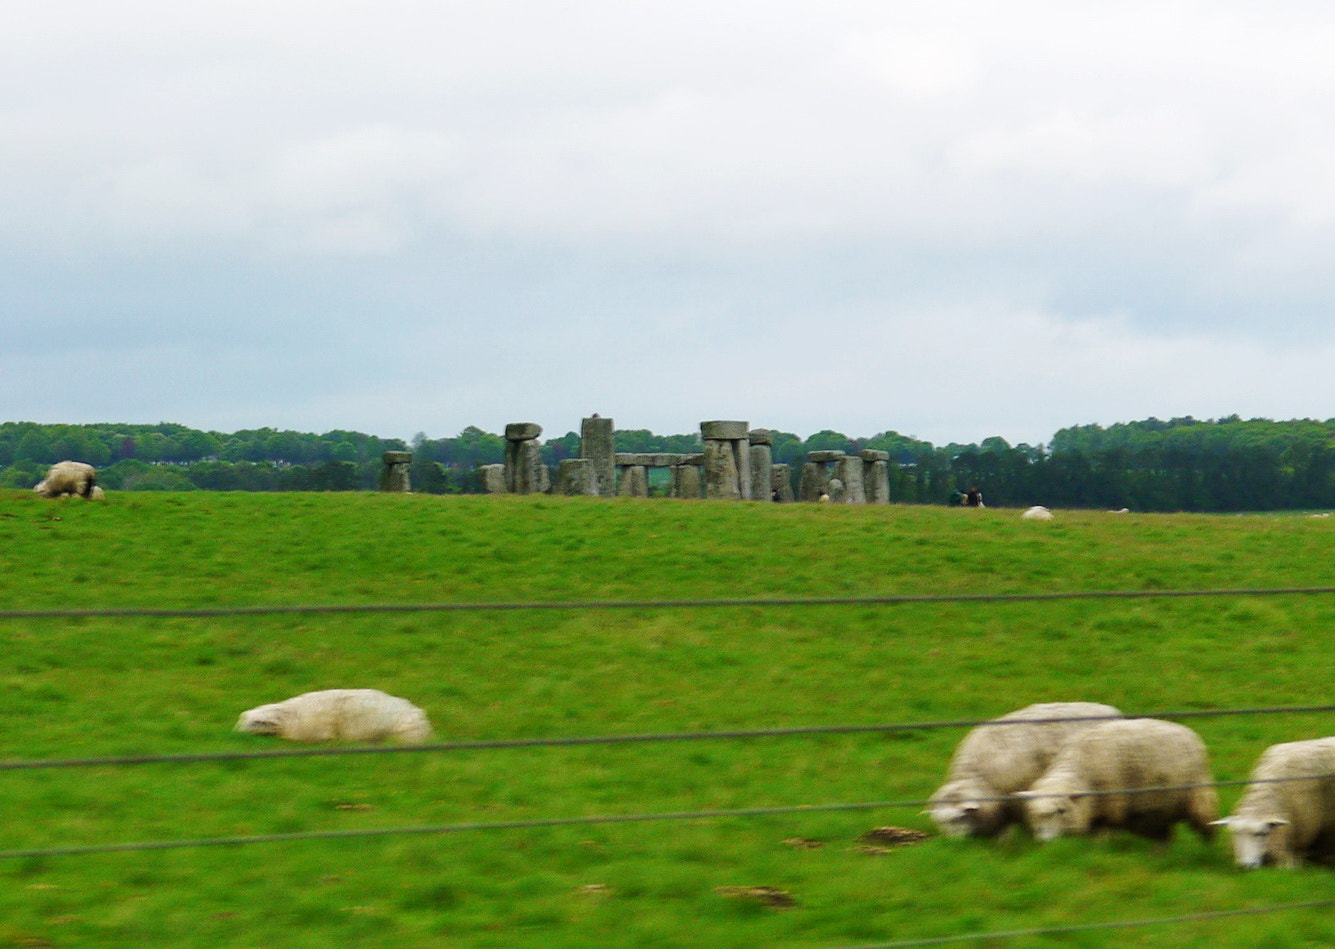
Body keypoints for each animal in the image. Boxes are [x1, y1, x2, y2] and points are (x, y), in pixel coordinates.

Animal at [1014, 715, 1217, 843]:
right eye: (1032, 814)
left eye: (1060, 811)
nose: (1043, 842)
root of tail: (1190, 734)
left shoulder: (1111, 807)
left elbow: (1103, 834)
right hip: (1161, 807)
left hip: (1199, 798)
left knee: (1205, 828)